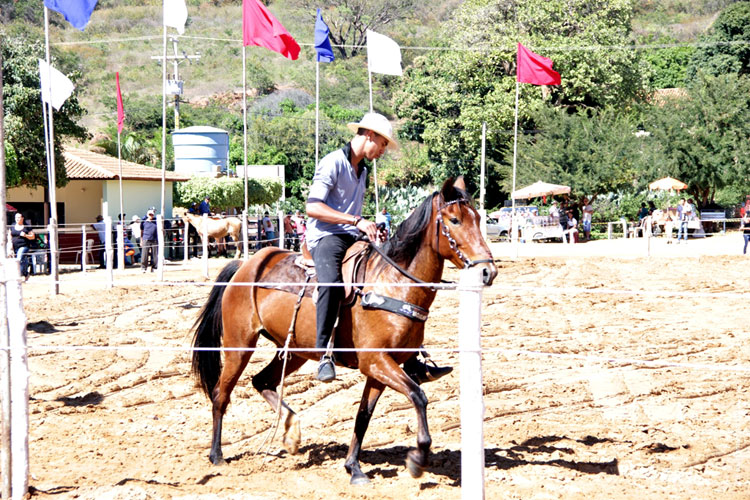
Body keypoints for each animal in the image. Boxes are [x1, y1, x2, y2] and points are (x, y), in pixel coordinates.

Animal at [191, 177, 500, 484]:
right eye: (454, 220)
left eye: (478, 218)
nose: (488, 272)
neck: (392, 283)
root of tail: (245, 267)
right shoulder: (375, 361)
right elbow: (418, 396)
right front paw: (418, 458)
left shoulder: (380, 369)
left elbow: (363, 415)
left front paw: (354, 467)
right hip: (239, 345)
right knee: (221, 393)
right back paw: (217, 455)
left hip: (293, 351)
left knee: (261, 381)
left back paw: (291, 432)